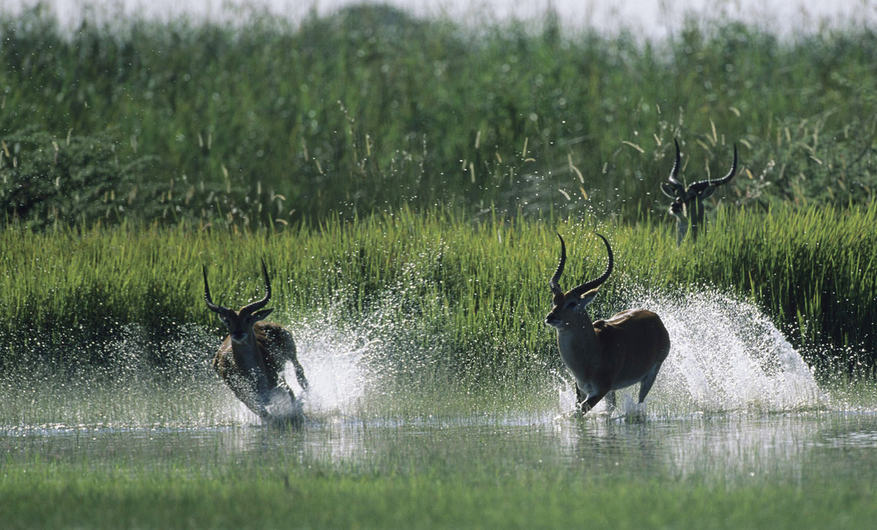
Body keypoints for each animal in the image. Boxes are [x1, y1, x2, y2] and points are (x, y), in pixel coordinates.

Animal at [202, 256, 308, 420]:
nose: (238, 333)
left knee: (300, 374)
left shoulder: (282, 384)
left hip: (292, 352)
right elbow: (266, 416)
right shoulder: (248, 400)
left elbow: (294, 402)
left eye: (247, 319)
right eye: (228, 321)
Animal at [540, 233, 672, 410]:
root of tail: (655, 317)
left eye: (572, 303)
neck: (595, 350)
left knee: (639, 403)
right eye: (555, 301)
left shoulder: (600, 391)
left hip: (650, 376)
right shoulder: (582, 389)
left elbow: (577, 414)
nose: (550, 317)